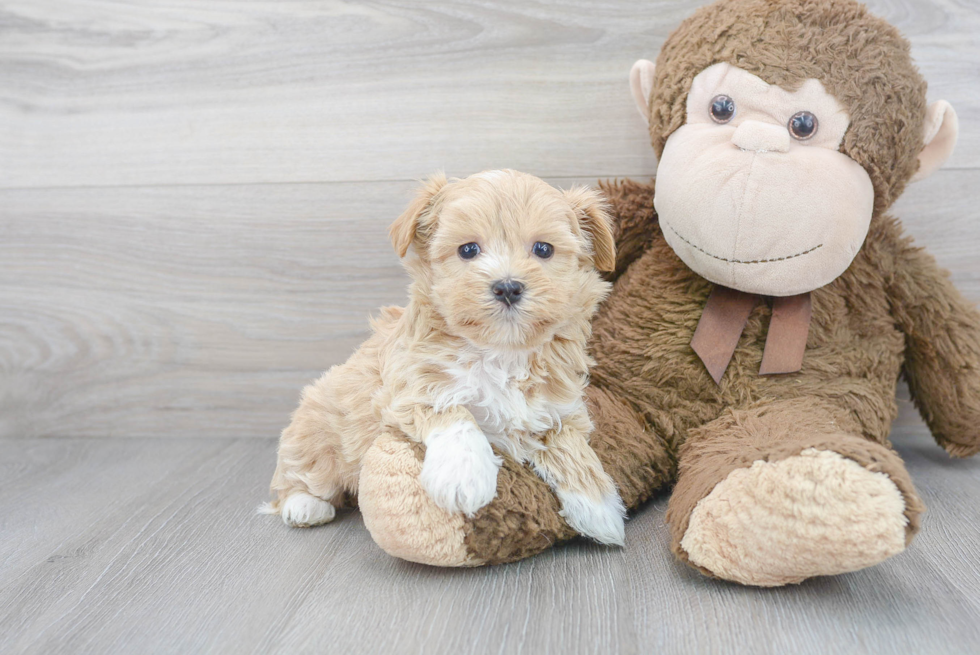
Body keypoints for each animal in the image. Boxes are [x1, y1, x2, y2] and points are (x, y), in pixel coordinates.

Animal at [264, 169, 624, 544]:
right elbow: (452, 411)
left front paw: (599, 508)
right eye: (468, 250)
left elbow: (570, 446)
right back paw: (304, 505)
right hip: (316, 431)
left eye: (543, 249)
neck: (501, 352)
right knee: (301, 473)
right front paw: (463, 476)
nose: (507, 287)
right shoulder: (406, 388)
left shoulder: (560, 408)